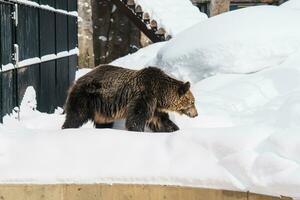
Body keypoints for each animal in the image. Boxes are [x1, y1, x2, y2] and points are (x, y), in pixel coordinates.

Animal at [61, 65, 197, 132]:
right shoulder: (144, 95)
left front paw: (174, 129)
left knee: (103, 122)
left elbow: (160, 121)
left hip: (102, 109)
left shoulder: (155, 106)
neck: (160, 93)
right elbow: (136, 116)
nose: (196, 114)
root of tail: (76, 81)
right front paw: (136, 130)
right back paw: (67, 128)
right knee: (76, 115)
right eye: (192, 102)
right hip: (87, 96)